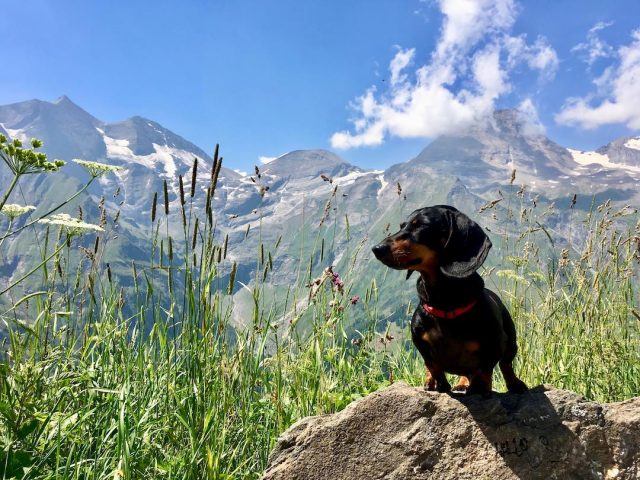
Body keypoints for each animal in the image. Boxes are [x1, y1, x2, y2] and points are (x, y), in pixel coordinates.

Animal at [372, 204, 528, 396]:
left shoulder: (494, 344)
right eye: (402, 226)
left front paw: (480, 389)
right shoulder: (421, 344)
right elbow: (433, 366)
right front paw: (440, 385)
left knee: (505, 364)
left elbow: (485, 369)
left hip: (511, 341)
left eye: (421, 226)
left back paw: (514, 384)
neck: (445, 302)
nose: (377, 249)